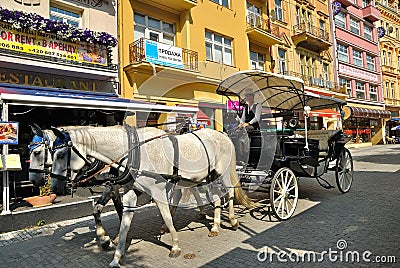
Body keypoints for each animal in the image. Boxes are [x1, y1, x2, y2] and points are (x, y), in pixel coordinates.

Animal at [49, 125, 256, 266]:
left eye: (60, 155)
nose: (55, 188)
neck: (134, 152)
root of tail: (223, 135)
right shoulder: (130, 191)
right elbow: (123, 221)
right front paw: (116, 254)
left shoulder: (157, 190)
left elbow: (165, 215)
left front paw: (175, 245)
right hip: (205, 175)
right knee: (212, 195)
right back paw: (213, 221)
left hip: (220, 172)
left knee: (228, 193)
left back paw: (227, 221)